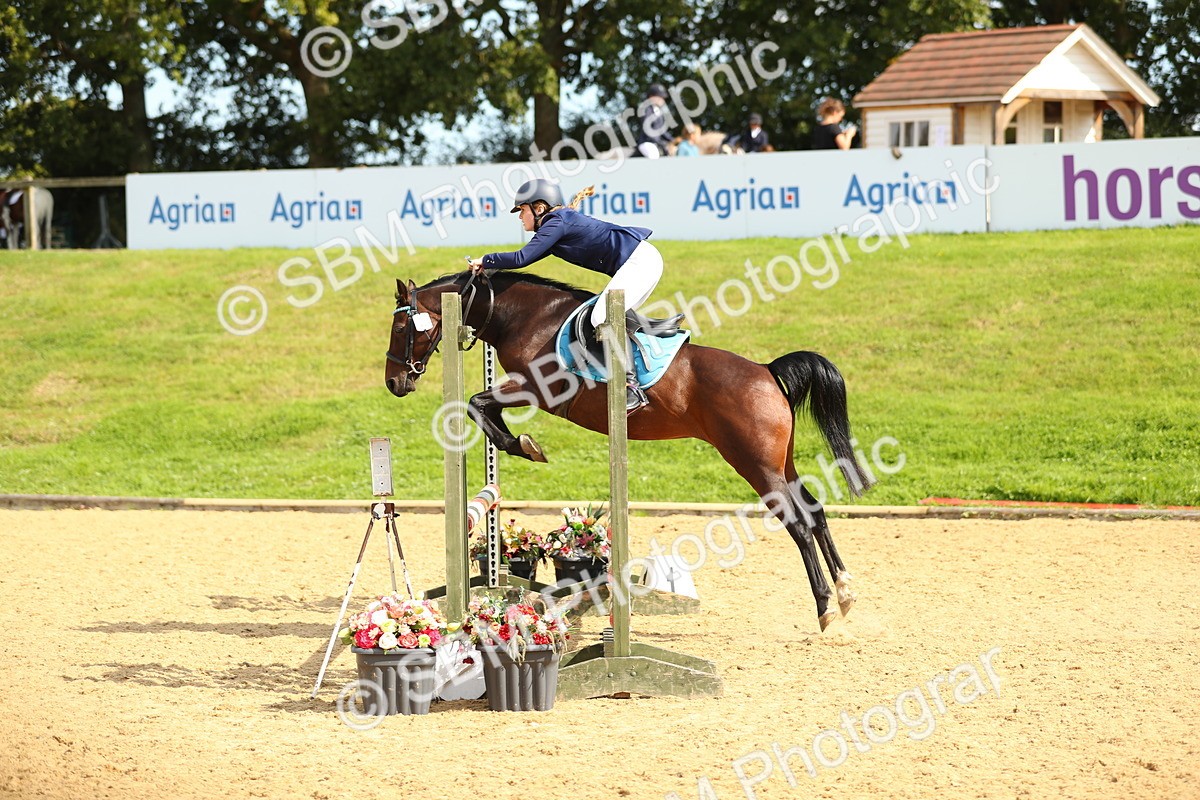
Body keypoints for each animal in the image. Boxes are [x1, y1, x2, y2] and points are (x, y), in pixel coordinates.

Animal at [384, 271, 874, 630]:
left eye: (402, 325)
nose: (394, 383)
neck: (525, 315)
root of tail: (767, 371)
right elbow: (480, 406)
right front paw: (523, 445)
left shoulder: (538, 389)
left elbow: (477, 403)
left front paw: (524, 446)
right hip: (780, 461)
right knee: (814, 510)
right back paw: (846, 592)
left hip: (754, 463)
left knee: (798, 522)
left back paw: (825, 607)